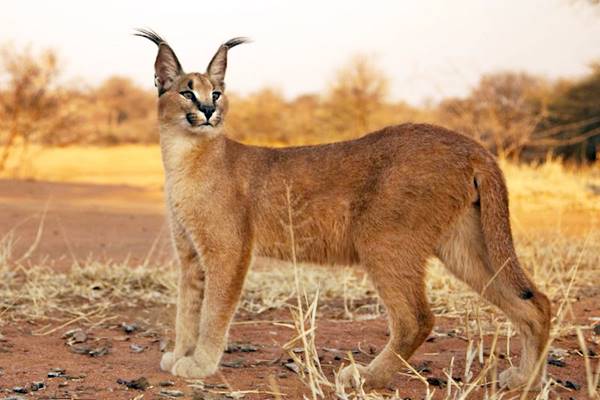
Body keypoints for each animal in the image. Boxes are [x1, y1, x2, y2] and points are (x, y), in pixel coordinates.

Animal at [138, 28, 552, 390]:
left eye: (217, 93)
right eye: (187, 93)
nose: (209, 110)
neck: (185, 156)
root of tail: (471, 144)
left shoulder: (227, 250)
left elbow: (213, 311)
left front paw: (200, 363)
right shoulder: (190, 256)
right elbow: (186, 309)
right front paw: (180, 354)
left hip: (383, 240)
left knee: (416, 318)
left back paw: (367, 377)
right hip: (464, 244)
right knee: (536, 303)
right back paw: (526, 381)